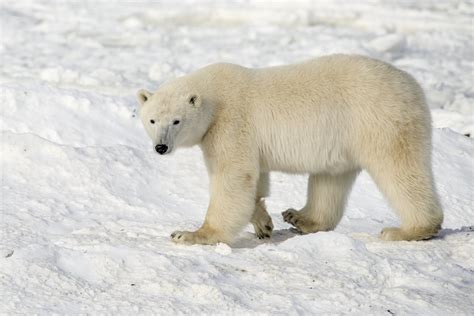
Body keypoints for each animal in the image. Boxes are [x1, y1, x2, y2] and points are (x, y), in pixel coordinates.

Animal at [137, 55, 444, 246]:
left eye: (176, 121)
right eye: (152, 120)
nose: (161, 146)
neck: (215, 96)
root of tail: (413, 86)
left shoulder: (230, 124)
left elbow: (233, 177)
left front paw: (190, 234)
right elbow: (255, 180)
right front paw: (263, 224)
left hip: (381, 122)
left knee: (400, 171)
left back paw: (408, 229)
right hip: (344, 138)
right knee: (330, 179)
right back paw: (300, 217)